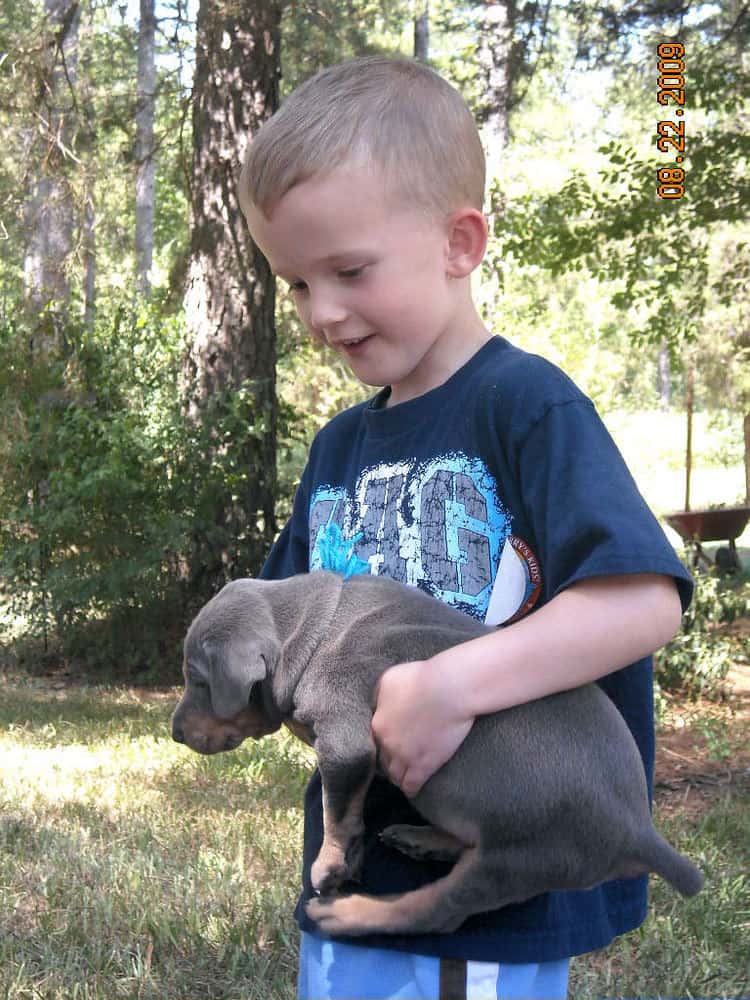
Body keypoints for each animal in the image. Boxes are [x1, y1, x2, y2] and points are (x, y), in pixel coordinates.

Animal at [172, 572, 704, 936]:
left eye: (198, 680)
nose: (175, 733)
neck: (313, 630)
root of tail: (638, 829)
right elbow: (350, 810)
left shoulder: (344, 738)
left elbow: (336, 812)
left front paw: (329, 863)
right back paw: (423, 838)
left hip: (521, 860)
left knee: (435, 910)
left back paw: (351, 914)